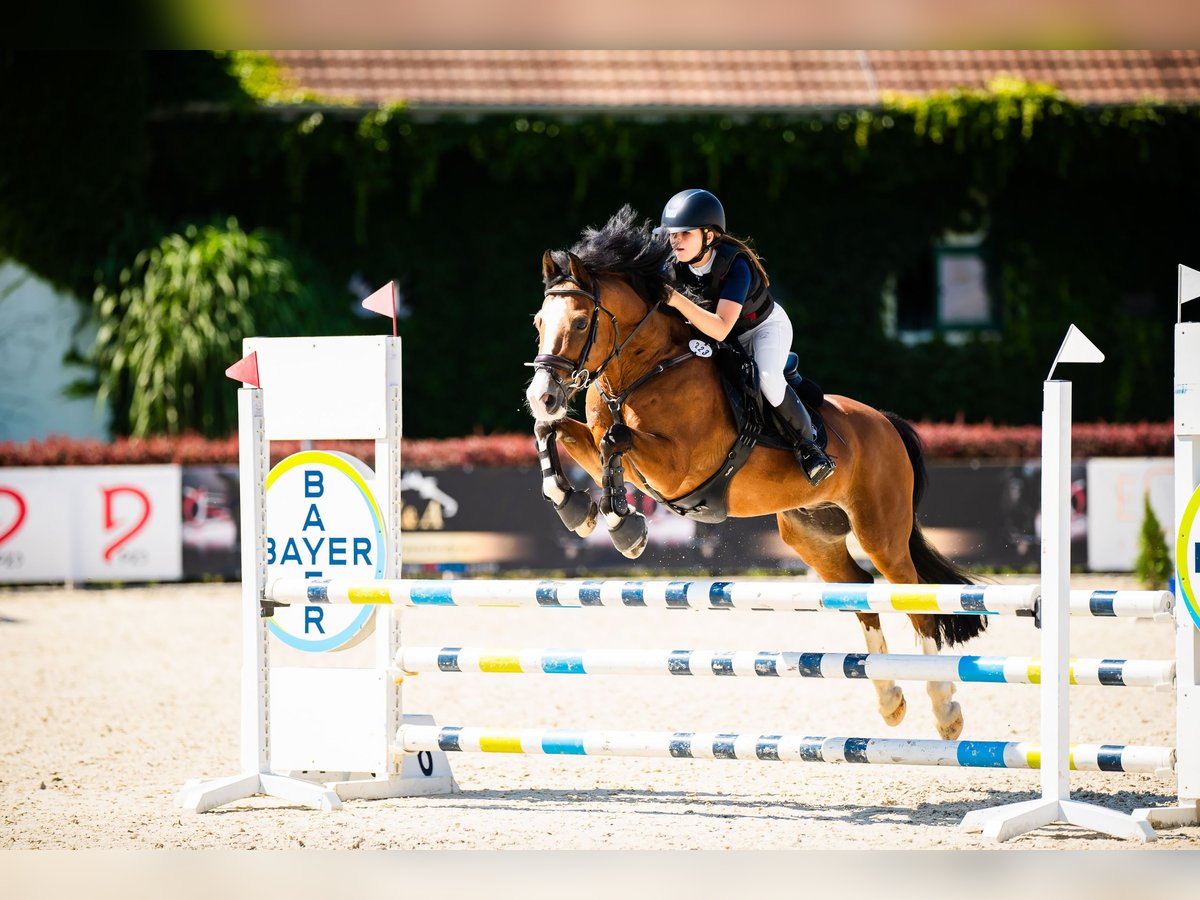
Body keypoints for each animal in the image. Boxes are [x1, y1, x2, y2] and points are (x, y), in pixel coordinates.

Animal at [523, 207, 984, 744]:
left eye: (580, 322)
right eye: (539, 321)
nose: (541, 394)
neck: (644, 369)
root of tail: (886, 423)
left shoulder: (678, 467)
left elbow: (614, 441)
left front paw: (625, 528)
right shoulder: (607, 445)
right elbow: (556, 431)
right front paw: (574, 506)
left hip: (880, 532)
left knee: (917, 601)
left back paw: (944, 708)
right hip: (812, 535)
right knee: (861, 593)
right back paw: (890, 699)